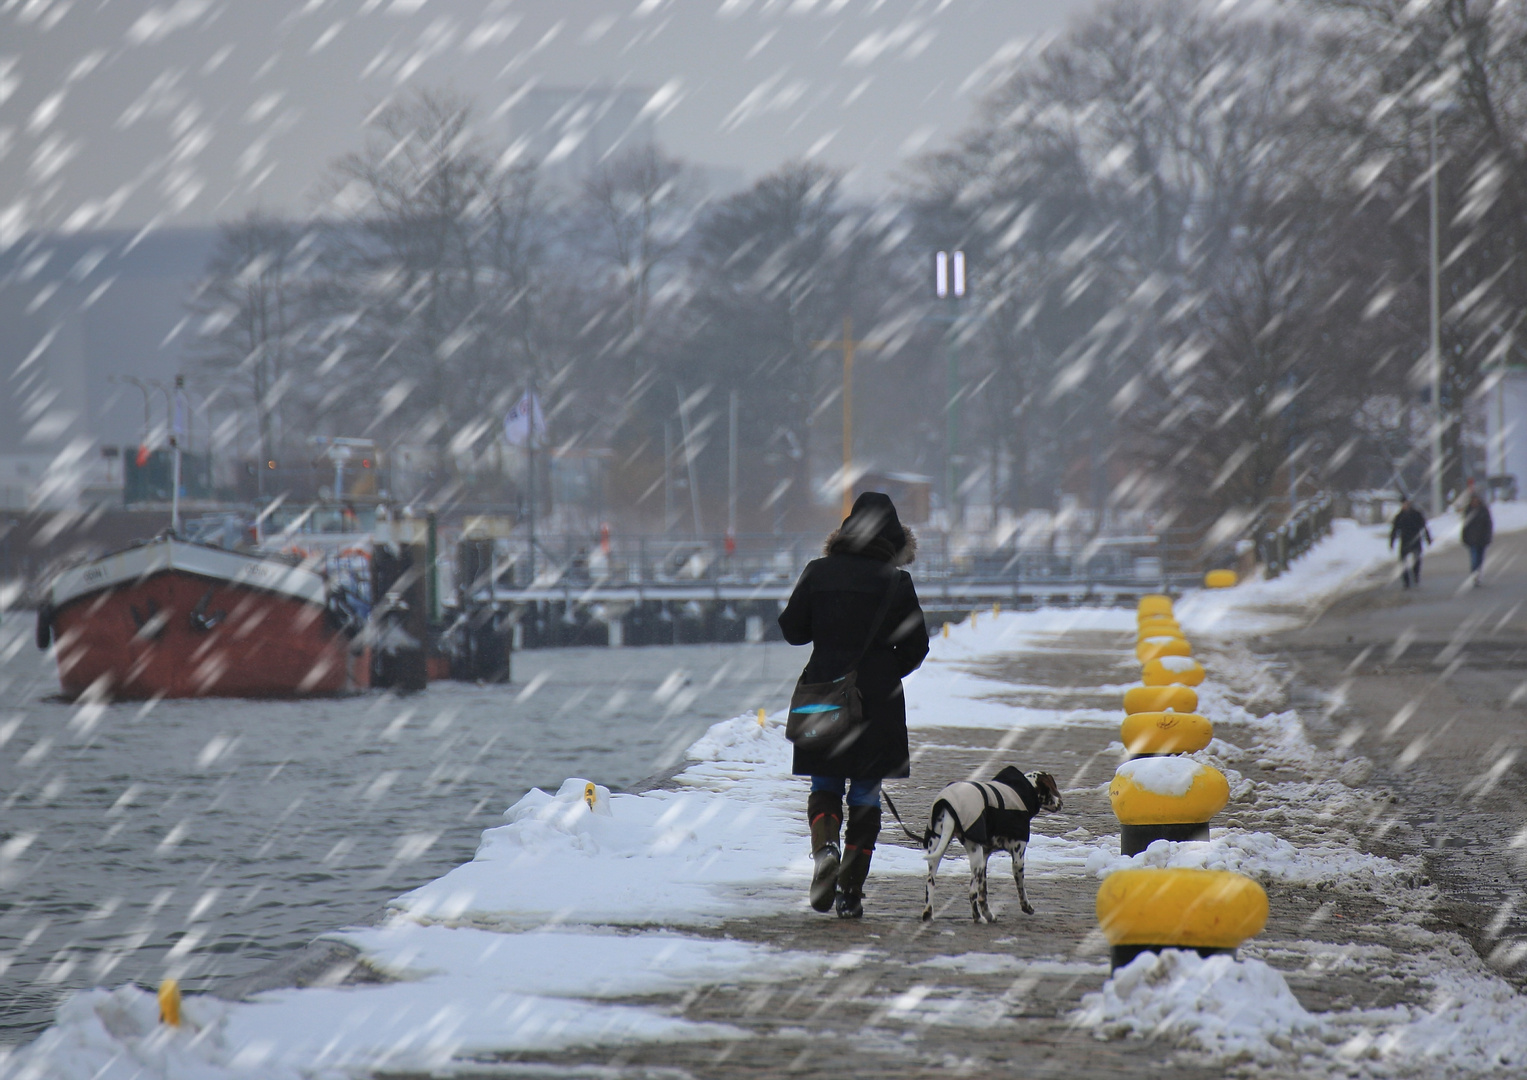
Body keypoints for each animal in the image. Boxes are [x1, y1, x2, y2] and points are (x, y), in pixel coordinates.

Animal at [916, 763, 1062, 922]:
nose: (1061, 803)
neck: (1021, 790)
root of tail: (948, 807)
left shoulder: (985, 857)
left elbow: (983, 894)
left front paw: (988, 914)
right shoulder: (1018, 858)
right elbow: (1021, 888)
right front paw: (1026, 907)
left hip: (937, 853)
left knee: (930, 886)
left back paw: (928, 913)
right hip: (975, 859)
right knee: (971, 892)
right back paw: (977, 918)